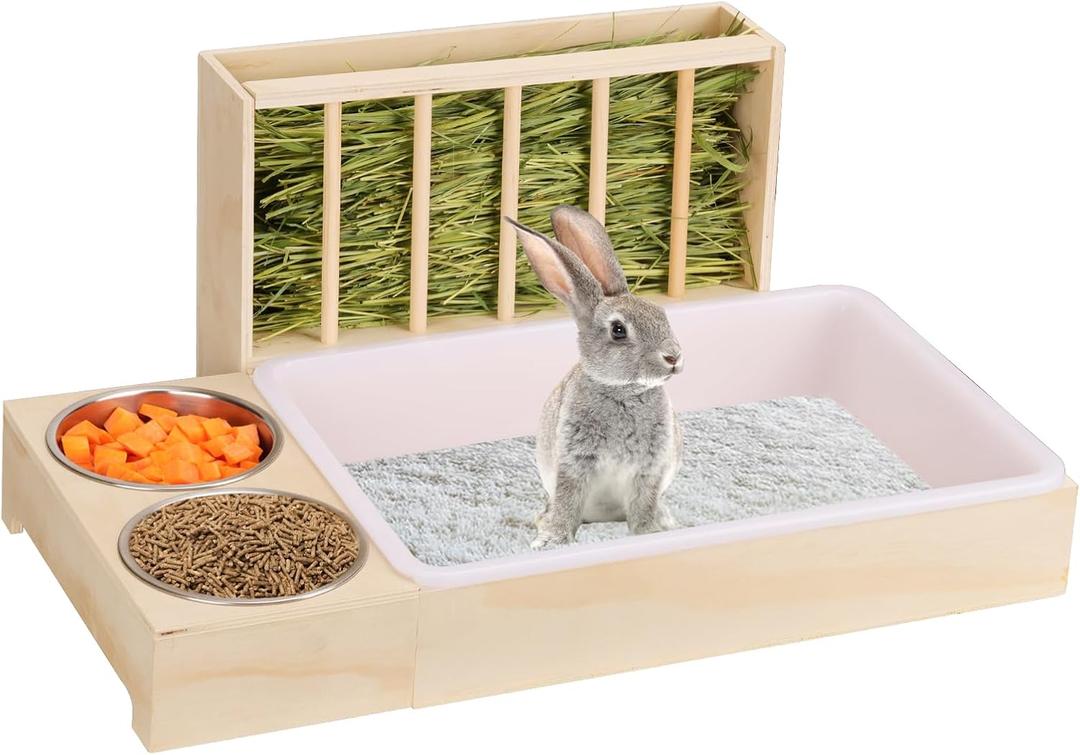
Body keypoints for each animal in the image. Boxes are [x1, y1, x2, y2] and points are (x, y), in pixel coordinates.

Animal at [506, 205, 684, 549]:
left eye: (662, 315)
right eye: (618, 330)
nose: (674, 357)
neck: (624, 392)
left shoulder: (650, 468)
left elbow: (644, 503)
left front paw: (649, 532)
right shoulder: (575, 461)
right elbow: (568, 498)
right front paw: (551, 541)